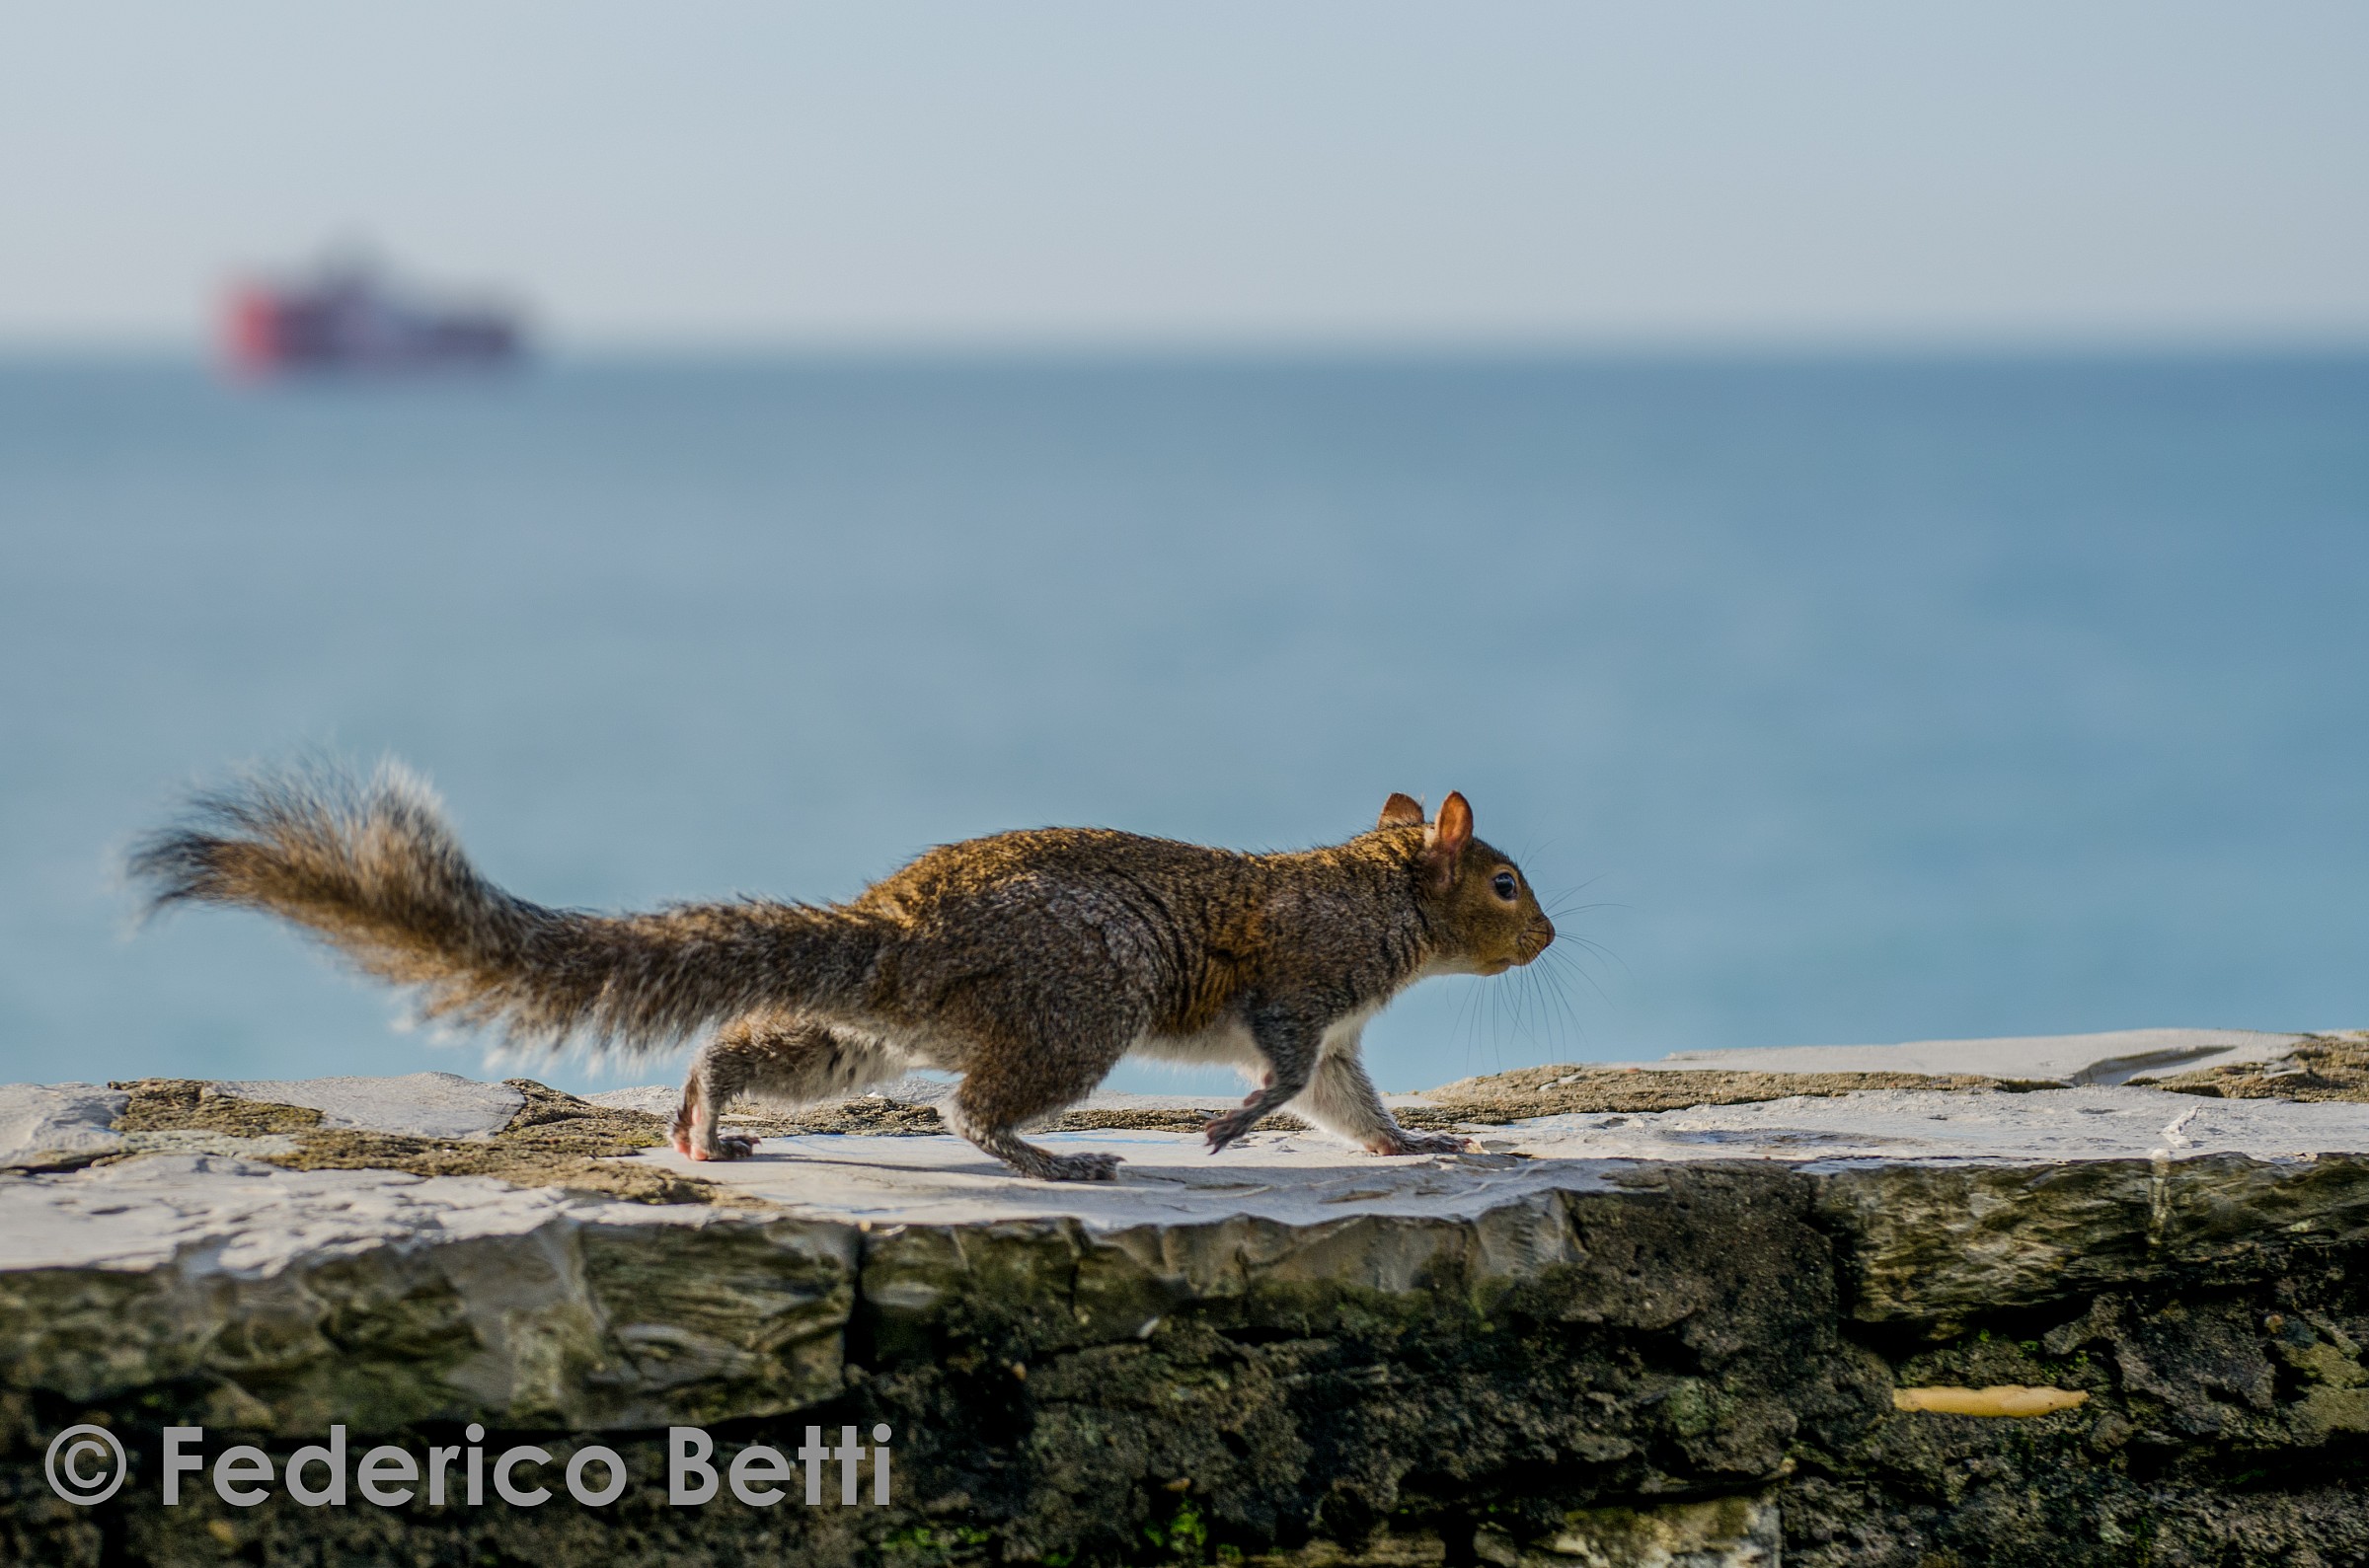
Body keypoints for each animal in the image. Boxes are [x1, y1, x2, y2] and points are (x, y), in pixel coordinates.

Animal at [129, 763, 1555, 1181]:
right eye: (1502, 883)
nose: (1543, 938)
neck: (1380, 891)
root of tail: (899, 926)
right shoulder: (1299, 987)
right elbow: (1279, 1074)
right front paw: (1227, 1124)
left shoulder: (1344, 1039)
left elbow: (1351, 1106)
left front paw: (1426, 1147)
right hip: (1077, 1008)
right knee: (971, 1111)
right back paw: (1051, 1159)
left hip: (864, 1033)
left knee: (757, 1046)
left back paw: (705, 1116)